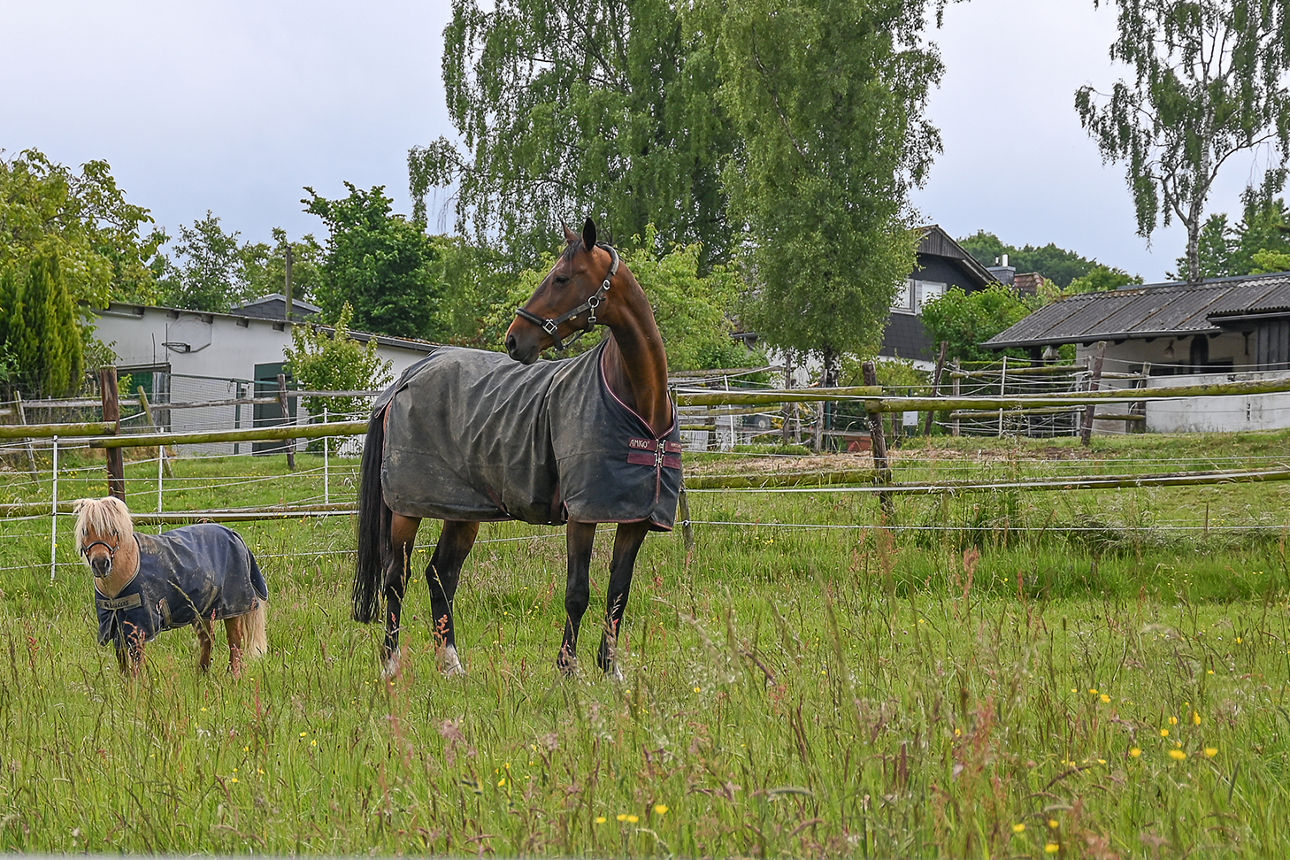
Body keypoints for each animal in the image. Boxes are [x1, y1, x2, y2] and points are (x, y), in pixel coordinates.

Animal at [74, 496, 269, 676]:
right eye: (85, 531)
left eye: (113, 530)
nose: (100, 564)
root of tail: (233, 534)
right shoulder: (114, 625)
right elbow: (122, 661)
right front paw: (125, 686)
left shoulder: (140, 626)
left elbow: (137, 662)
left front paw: (137, 689)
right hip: (202, 611)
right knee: (208, 639)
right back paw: (202, 675)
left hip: (233, 608)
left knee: (234, 642)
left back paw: (233, 677)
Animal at [352, 217, 681, 680]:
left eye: (562, 278)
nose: (513, 340)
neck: (637, 403)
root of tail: (408, 377)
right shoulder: (583, 517)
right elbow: (578, 592)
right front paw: (568, 670)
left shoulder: (634, 517)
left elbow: (619, 592)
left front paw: (610, 670)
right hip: (406, 509)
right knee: (397, 578)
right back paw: (391, 665)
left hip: (462, 510)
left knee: (441, 575)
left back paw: (451, 664)